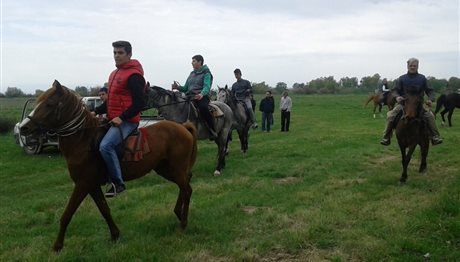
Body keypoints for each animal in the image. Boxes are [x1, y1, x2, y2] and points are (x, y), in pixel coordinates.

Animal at [18, 80, 198, 252]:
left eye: (49, 104)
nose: (23, 127)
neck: (84, 140)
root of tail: (183, 127)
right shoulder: (92, 185)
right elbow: (104, 209)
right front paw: (115, 235)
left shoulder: (83, 184)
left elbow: (67, 214)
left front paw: (57, 246)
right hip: (166, 169)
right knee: (184, 186)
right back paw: (178, 213)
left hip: (175, 169)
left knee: (187, 190)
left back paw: (183, 224)